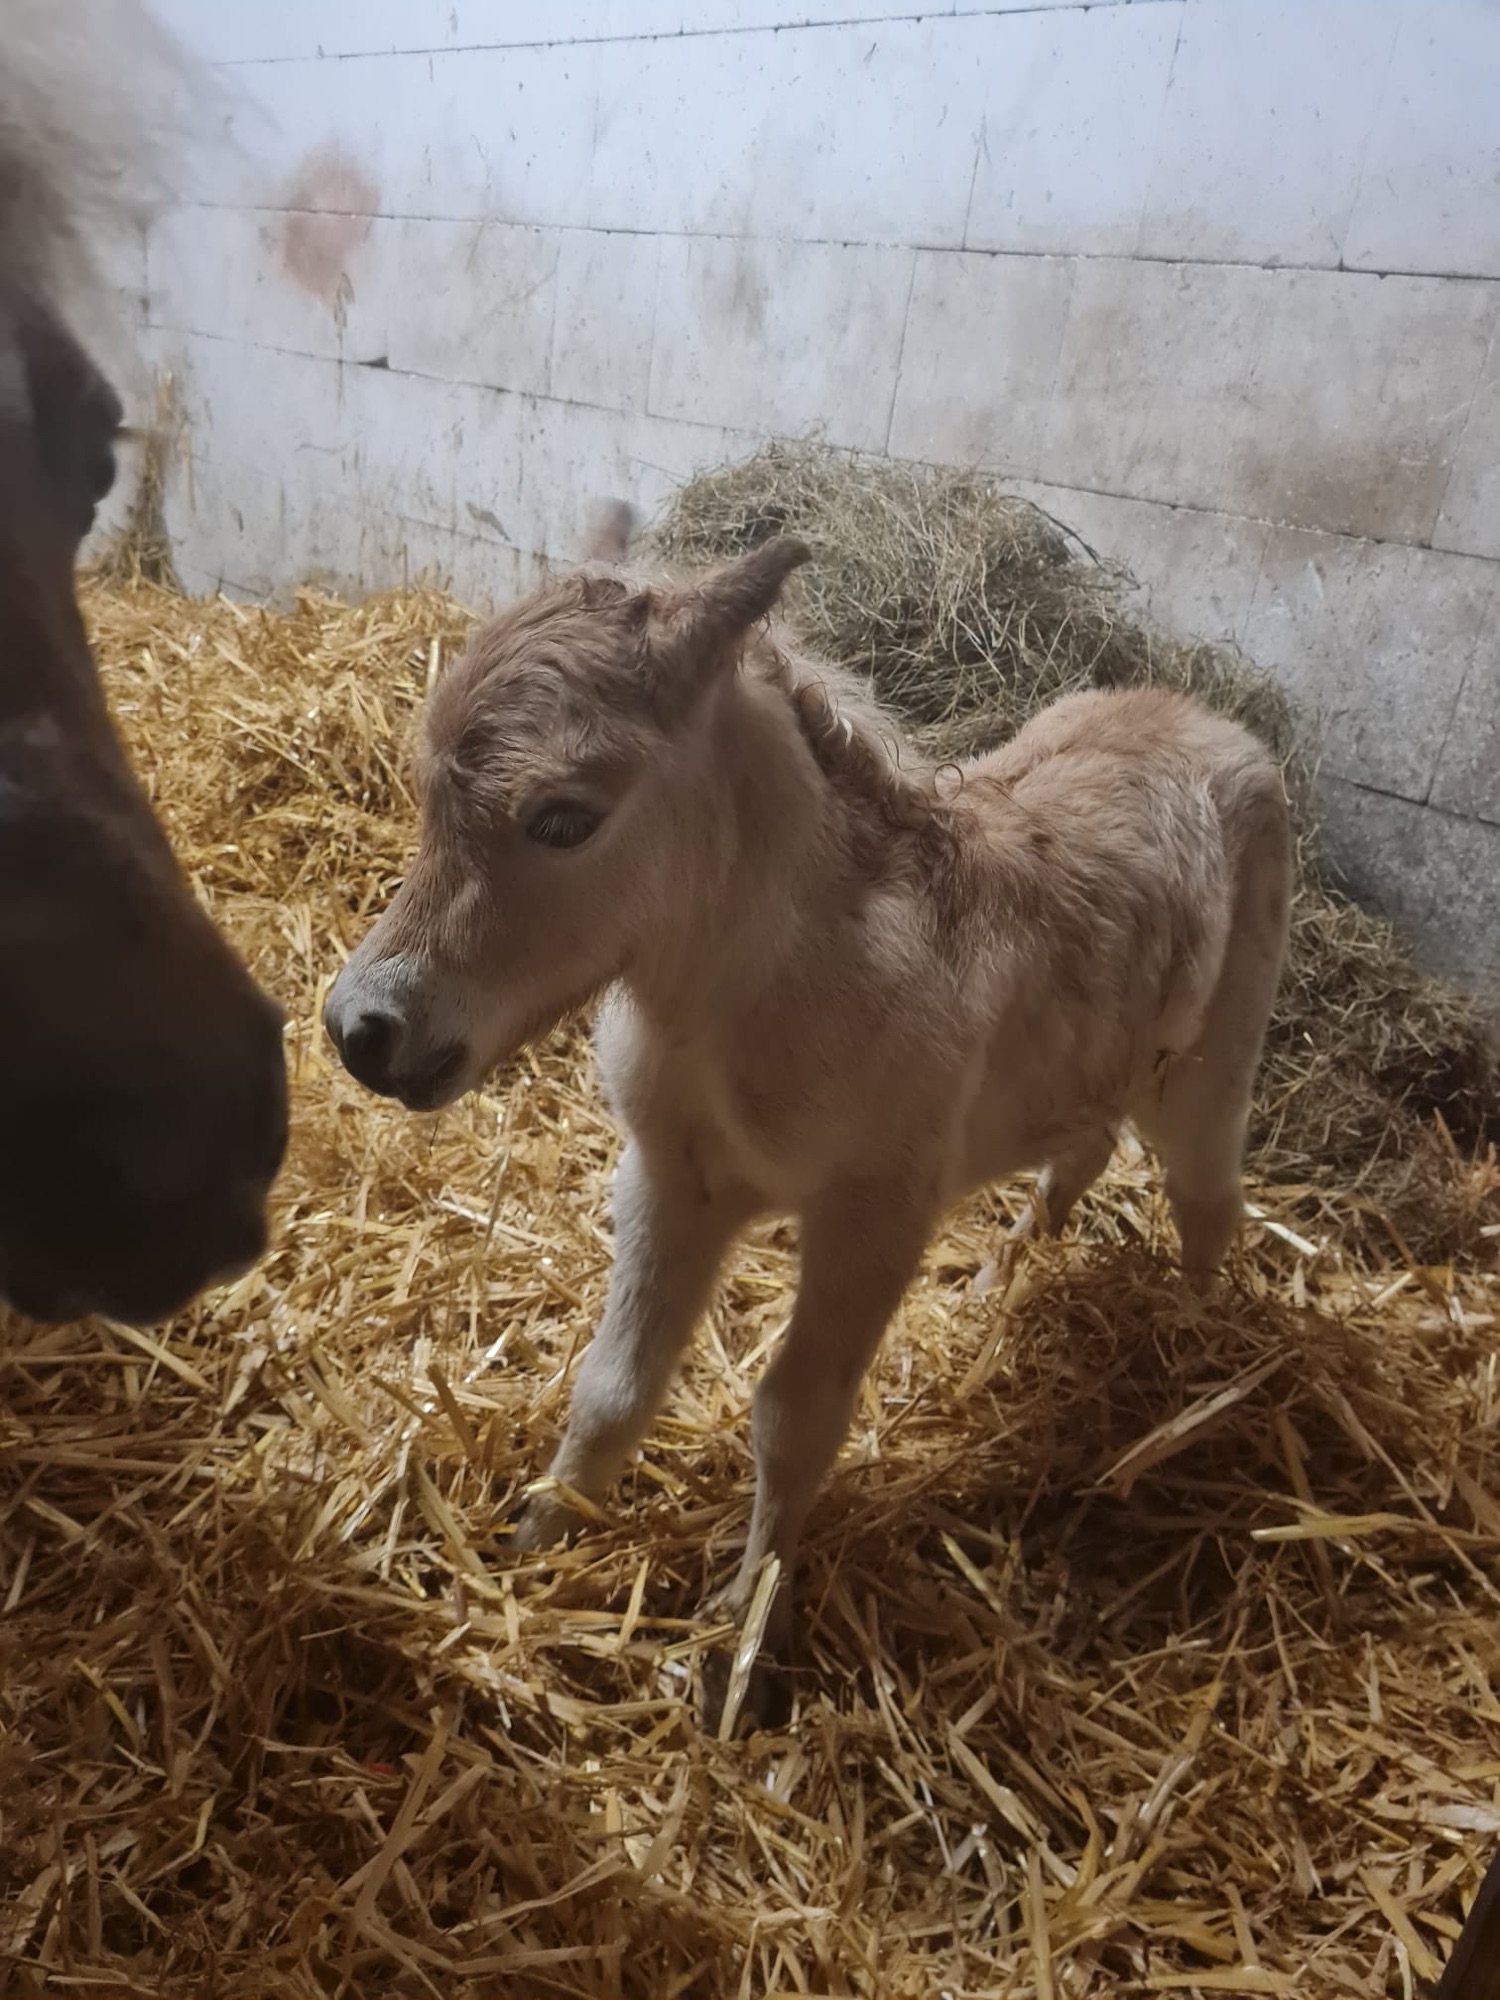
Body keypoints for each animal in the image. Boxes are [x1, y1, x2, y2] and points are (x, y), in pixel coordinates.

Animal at [324, 537, 1291, 1687]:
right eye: (427, 795)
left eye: (563, 818)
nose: (360, 1029)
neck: (759, 991)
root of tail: (1218, 729)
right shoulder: (671, 1178)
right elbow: (613, 1384)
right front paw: (533, 1548)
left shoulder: (873, 1213)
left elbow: (793, 1418)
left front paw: (740, 1649)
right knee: (1085, 1146)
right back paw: (999, 1286)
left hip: (1210, 1069)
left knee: (1208, 1202)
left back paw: (1183, 1354)